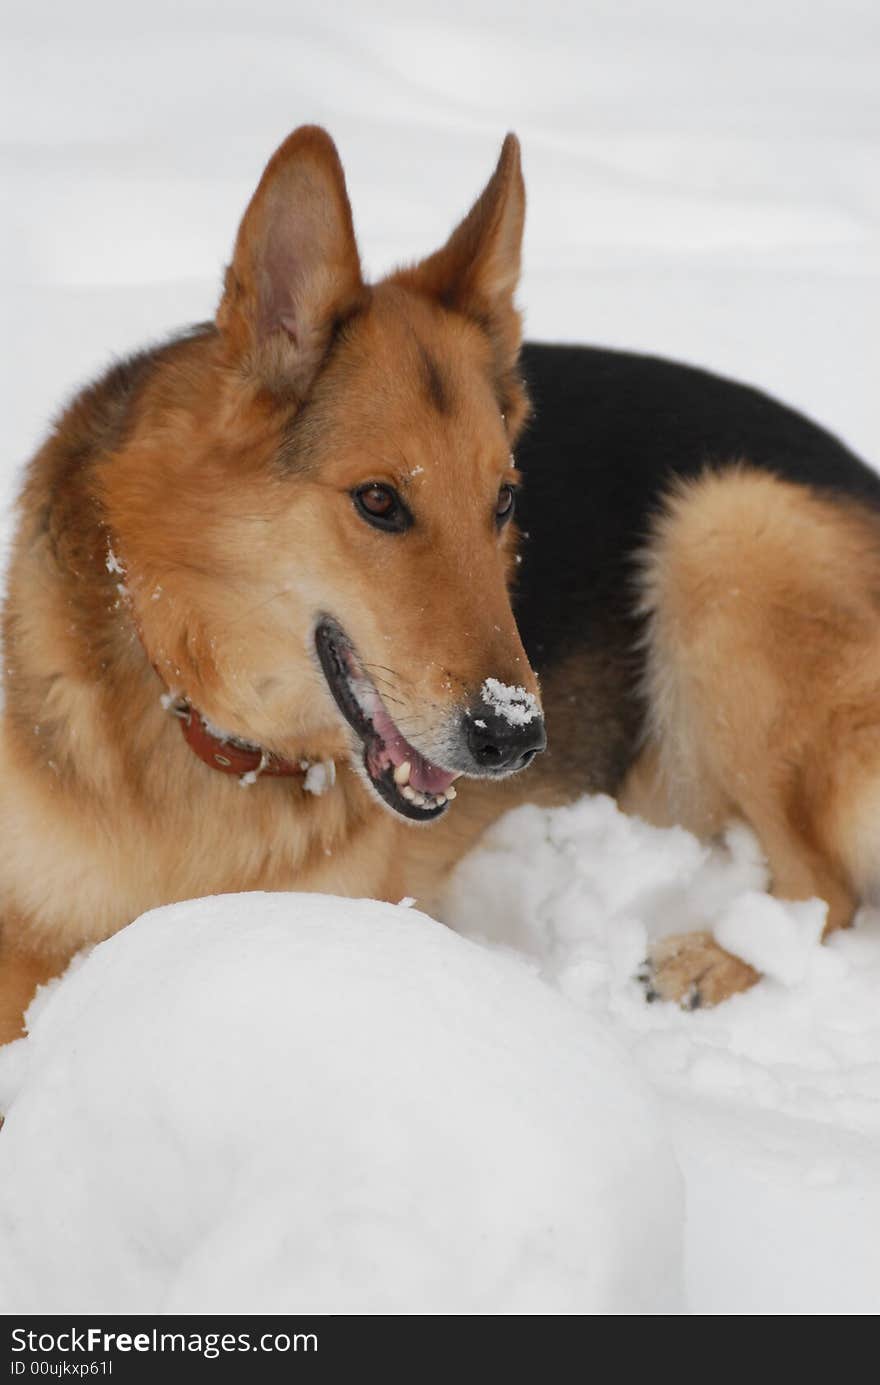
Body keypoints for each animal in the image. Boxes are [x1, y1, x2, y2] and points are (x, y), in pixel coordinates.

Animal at [1, 130, 880, 1041]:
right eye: (379, 500)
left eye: (504, 501)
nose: (516, 737)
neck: (210, 729)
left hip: (725, 526)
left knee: (824, 890)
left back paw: (707, 959)